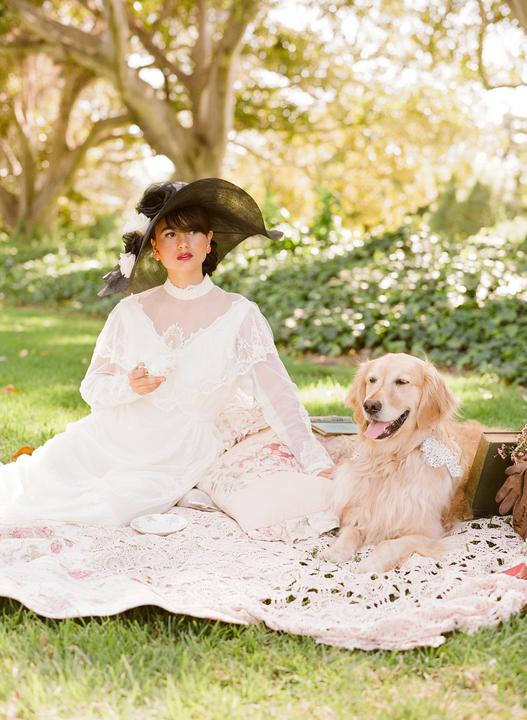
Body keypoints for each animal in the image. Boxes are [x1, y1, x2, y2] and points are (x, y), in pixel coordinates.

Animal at [324, 353, 483, 572]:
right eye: (372, 380)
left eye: (401, 382)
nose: (370, 405)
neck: (391, 459)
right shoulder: (359, 512)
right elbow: (351, 531)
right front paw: (337, 551)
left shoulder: (428, 533)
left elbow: (389, 544)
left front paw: (370, 563)